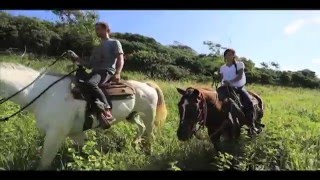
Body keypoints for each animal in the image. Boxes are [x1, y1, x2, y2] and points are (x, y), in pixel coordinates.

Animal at [0, 62, 169, 170]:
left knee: (150, 134)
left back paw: (149, 152)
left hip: (149, 116)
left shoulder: (54, 134)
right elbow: (83, 153)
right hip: (133, 115)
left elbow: (44, 163)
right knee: (140, 128)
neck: (44, 94)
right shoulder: (75, 134)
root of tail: (147, 85)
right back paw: (134, 143)